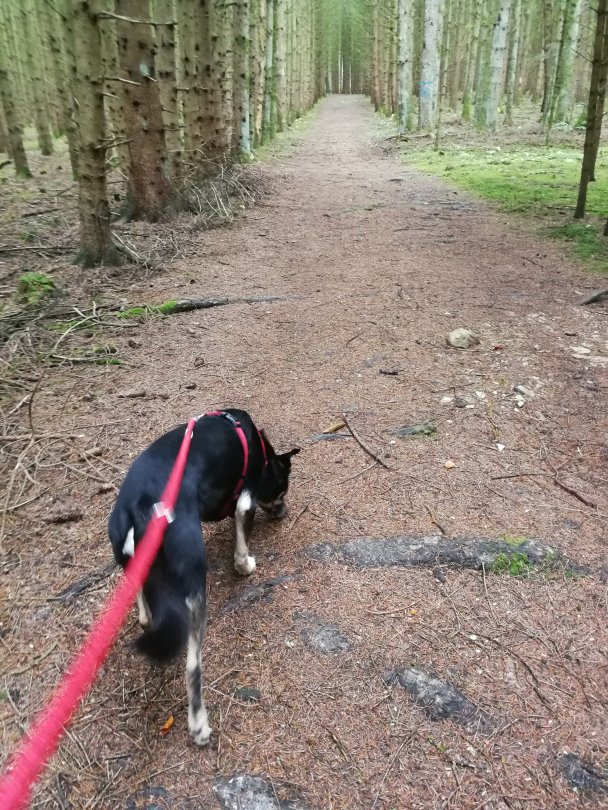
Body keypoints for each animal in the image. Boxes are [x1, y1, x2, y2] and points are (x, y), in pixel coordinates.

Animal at [108, 409, 299, 745]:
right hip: (195, 590)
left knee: (145, 609)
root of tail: (138, 509)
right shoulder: (245, 498)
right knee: (192, 667)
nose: (283, 512)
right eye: (281, 490)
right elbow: (241, 540)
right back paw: (198, 724)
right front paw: (245, 564)